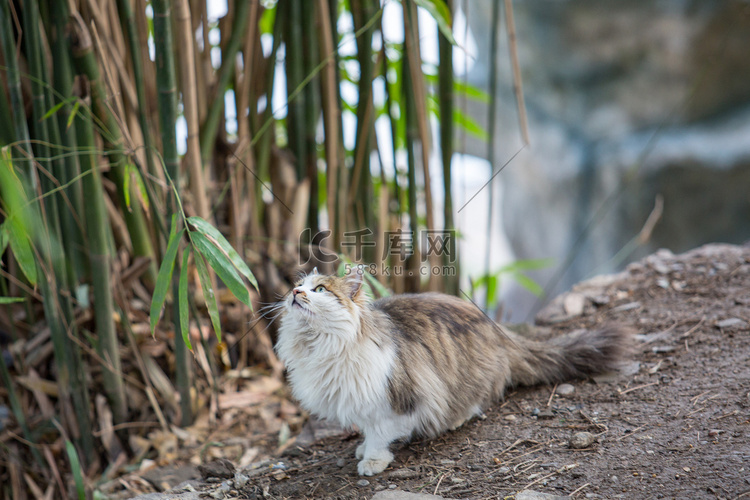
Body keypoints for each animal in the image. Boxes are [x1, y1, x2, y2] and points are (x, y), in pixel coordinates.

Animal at [276, 268, 636, 474]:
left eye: (320, 290)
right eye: (298, 285)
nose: (295, 292)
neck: (317, 346)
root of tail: (500, 332)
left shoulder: (397, 399)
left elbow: (380, 433)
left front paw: (373, 460)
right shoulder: (362, 401)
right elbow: (367, 429)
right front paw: (363, 448)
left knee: (476, 402)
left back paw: (456, 418)